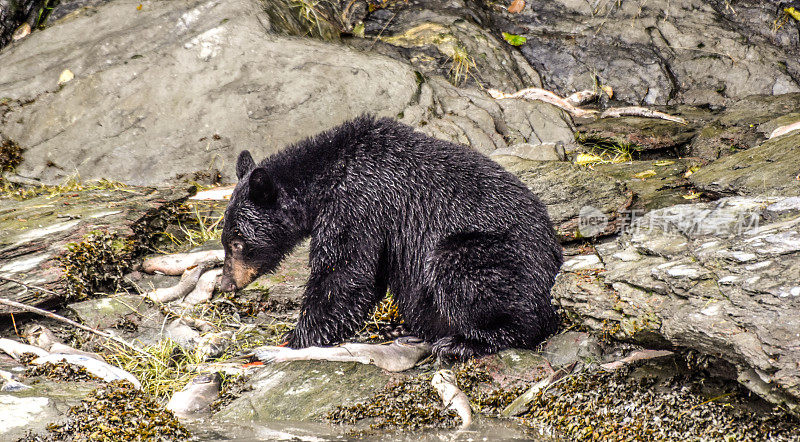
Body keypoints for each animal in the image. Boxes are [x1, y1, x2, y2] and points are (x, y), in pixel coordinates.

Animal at [220, 115, 564, 360]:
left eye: (238, 242)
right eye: (226, 240)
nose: (226, 285)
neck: (327, 172)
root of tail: (553, 260)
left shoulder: (358, 203)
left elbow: (344, 273)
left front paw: (293, 340)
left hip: (493, 255)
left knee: (466, 276)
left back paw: (464, 342)